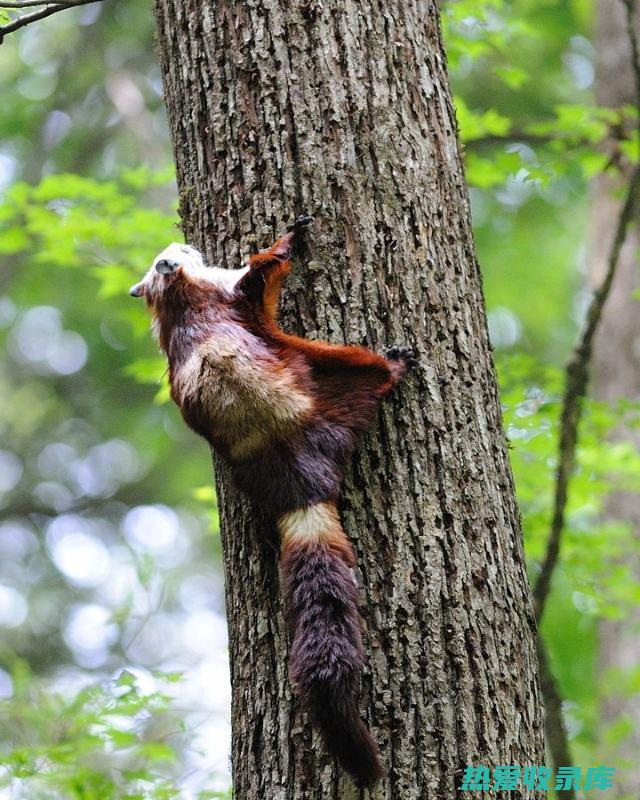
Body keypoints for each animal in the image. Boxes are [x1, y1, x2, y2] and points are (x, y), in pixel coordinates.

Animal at [130, 216, 416, 784]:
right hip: (330, 371)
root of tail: (300, 485)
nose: (180, 245)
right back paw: (392, 368)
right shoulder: (226, 295)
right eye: (169, 256)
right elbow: (259, 277)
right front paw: (288, 240)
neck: (175, 303)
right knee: (364, 372)